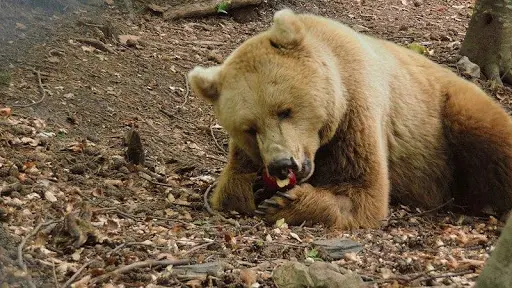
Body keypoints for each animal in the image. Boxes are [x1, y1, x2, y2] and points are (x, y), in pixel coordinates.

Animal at [186, 7, 512, 231]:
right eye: (249, 128)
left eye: (285, 110)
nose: (282, 165)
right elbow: (228, 188)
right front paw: (256, 187)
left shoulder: (357, 112)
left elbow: (364, 191)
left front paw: (283, 202)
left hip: (448, 114)